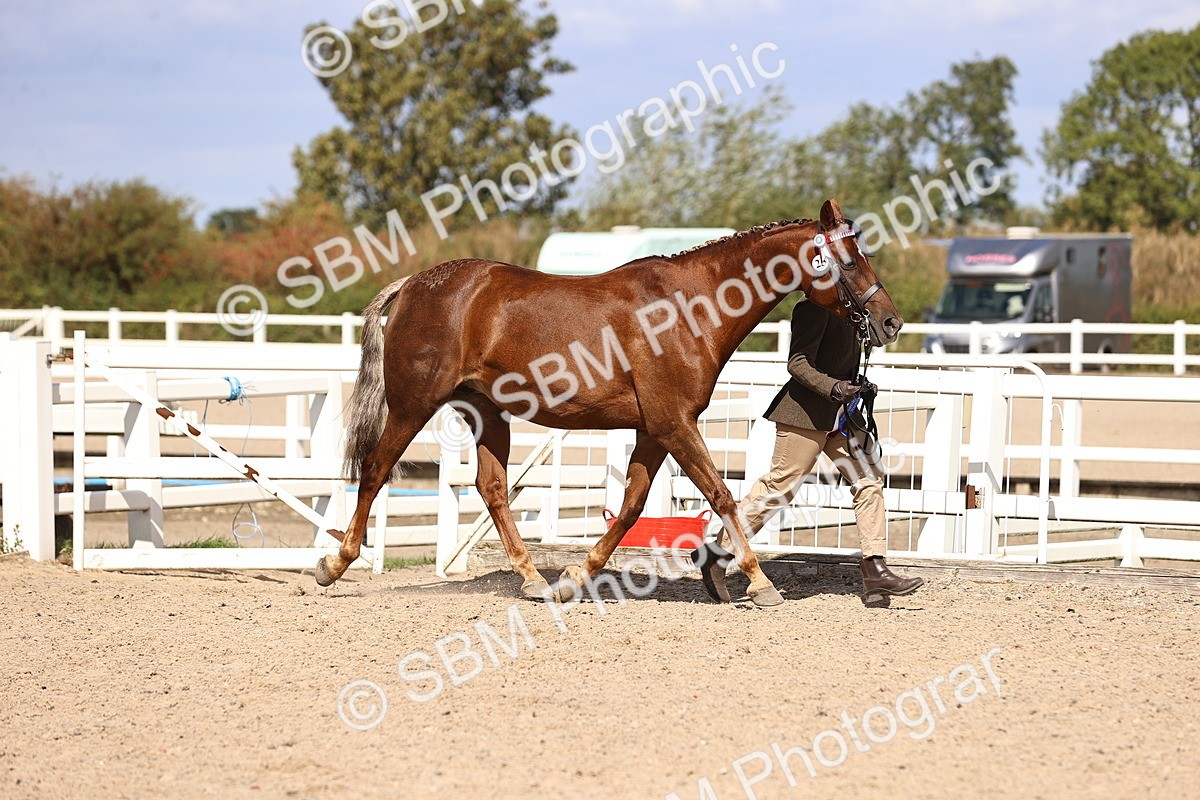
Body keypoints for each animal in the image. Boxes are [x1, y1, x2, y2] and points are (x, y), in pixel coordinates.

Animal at [316, 199, 903, 607]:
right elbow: (722, 495)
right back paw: (334, 564)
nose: (891, 321)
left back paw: (533, 580)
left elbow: (633, 506)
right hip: (413, 405)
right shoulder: (675, 424)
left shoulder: (654, 429)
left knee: (493, 489)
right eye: (851, 259)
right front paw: (760, 584)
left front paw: (575, 577)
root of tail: (414, 284)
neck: (691, 306)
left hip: (485, 413)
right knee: (375, 469)